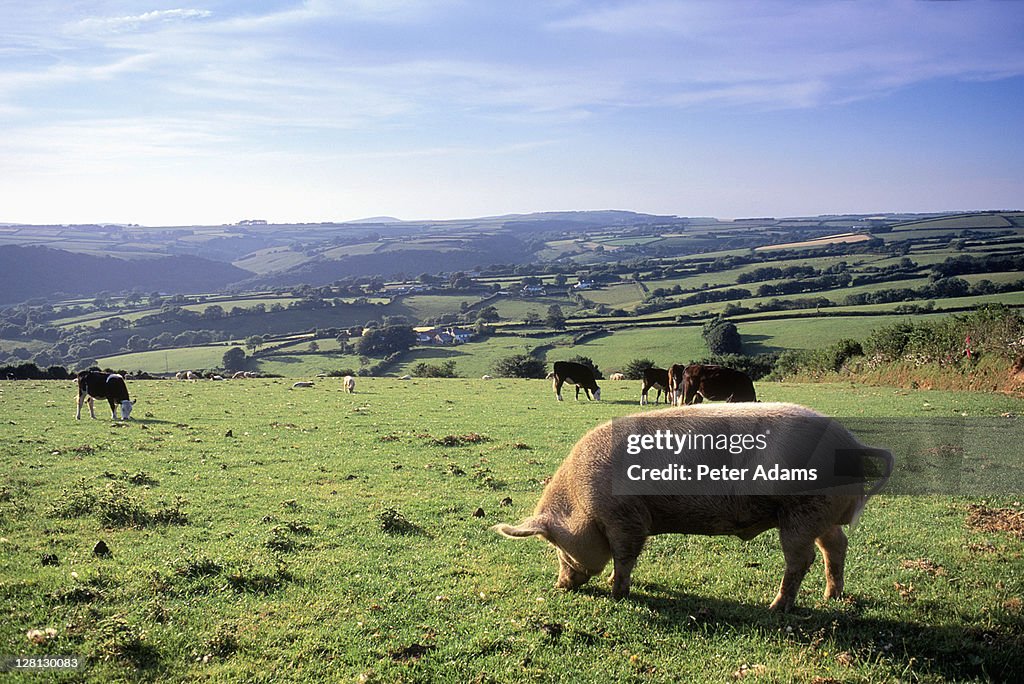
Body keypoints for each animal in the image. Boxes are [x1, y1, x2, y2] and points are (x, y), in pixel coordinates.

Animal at [493, 401, 888, 610]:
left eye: (556, 546)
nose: (560, 584)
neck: (582, 503)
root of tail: (852, 444)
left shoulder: (626, 518)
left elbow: (625, 556)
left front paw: (617, 594)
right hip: (822, 513)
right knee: (835, 545)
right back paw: (831, 597)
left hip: (801, 511)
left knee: (801, 558)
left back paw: (776, 607)